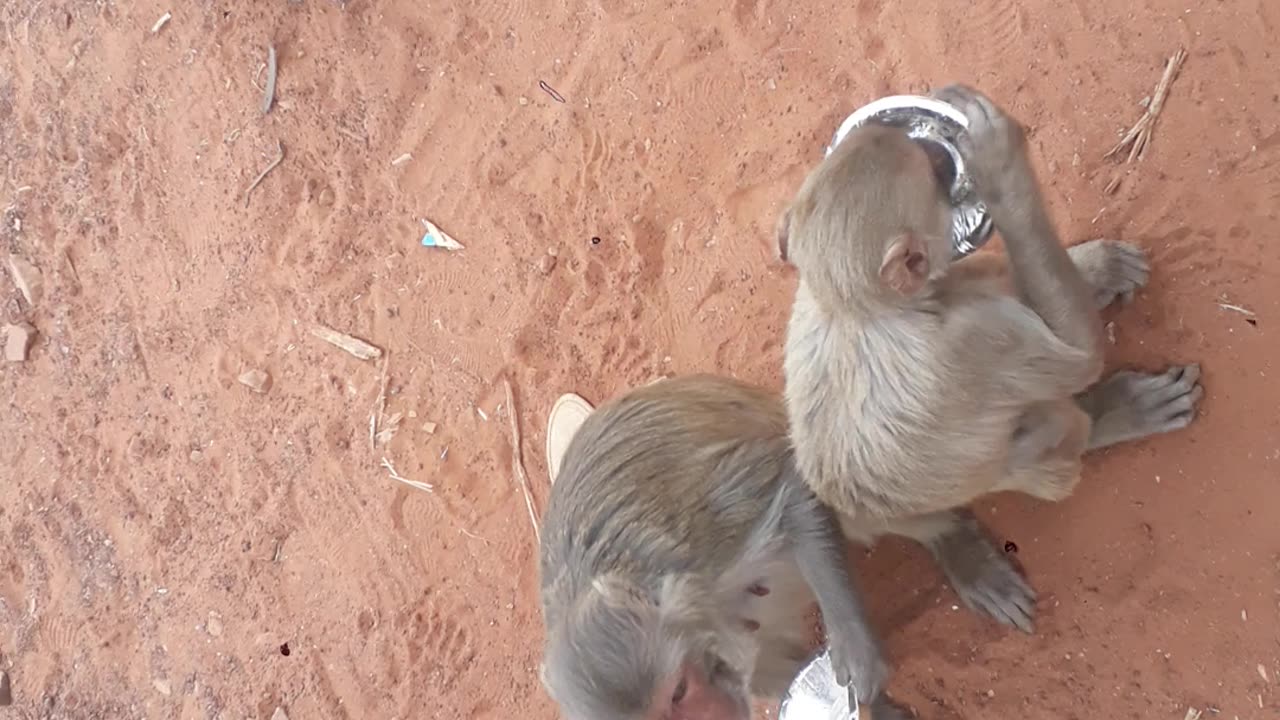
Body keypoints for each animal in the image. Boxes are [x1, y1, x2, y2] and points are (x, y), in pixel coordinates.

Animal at [773, 83, 1203, 630]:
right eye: (932, 165)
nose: (937, 151)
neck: (862, 311)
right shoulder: (982, 341)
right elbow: (1079, 358)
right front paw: (999, 165)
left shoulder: (812, 301)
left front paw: (1095, 268)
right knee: (1040, 428)